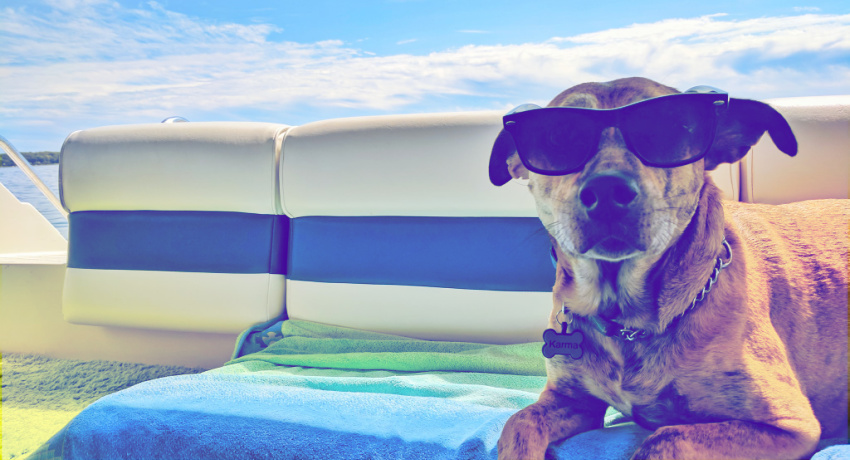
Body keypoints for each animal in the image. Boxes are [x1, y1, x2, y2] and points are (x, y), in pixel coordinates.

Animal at [486, 77, 844, 458]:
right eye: (557, 136)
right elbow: (518, 422)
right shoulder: (571, 401)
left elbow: (666, 437)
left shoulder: (790, 425)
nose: (607, 190)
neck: (626, 322)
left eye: (668, 127)